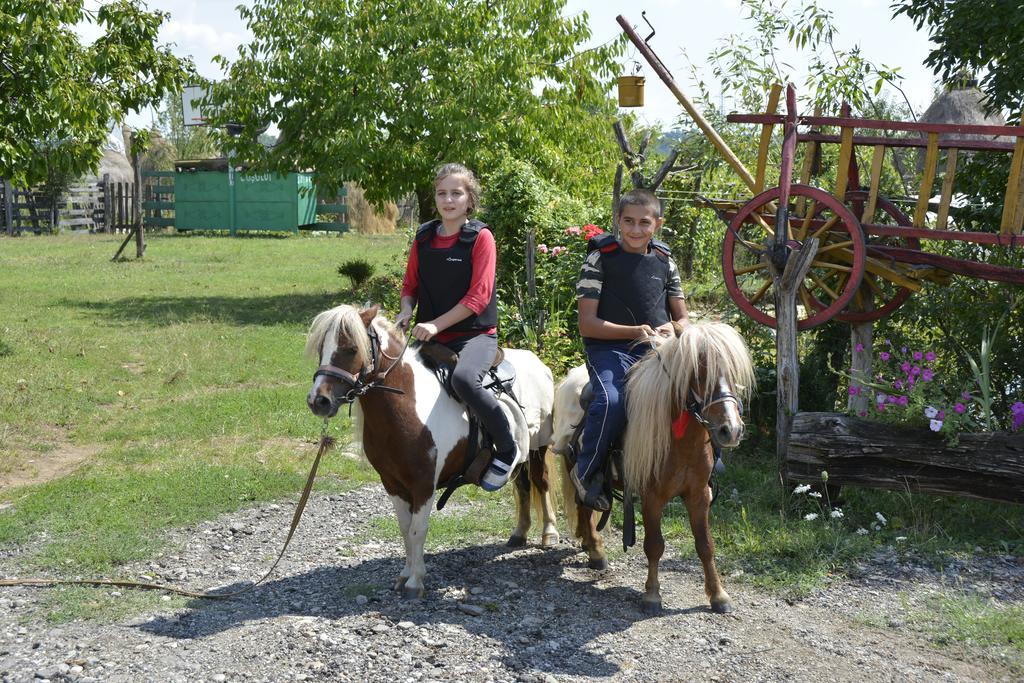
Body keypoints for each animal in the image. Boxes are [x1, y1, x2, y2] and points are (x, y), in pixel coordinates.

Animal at [305, 305, 561, 598]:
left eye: (350, 348)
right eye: (322, 346)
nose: (318, 401)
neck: (408, 404)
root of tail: (538, 362)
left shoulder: (423, 484)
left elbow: (418, 530)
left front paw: (416, 582)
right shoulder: (392, 483)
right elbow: (405, 529)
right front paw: (406, 574)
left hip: (539, 447)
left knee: (540, 482)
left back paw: (549, 533)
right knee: (522, 485)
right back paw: (519, 533)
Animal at [552, 323, 753, 618]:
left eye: (732, 370)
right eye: (698, 372)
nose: (731, 430)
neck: (679, 442)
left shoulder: (699, 496)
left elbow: (705, 545)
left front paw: (718, 595)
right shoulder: (652, 498)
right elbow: (655, 545)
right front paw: (652, 595)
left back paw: (590, 545)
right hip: (572, 464)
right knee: (584, 502)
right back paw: (597, 552)